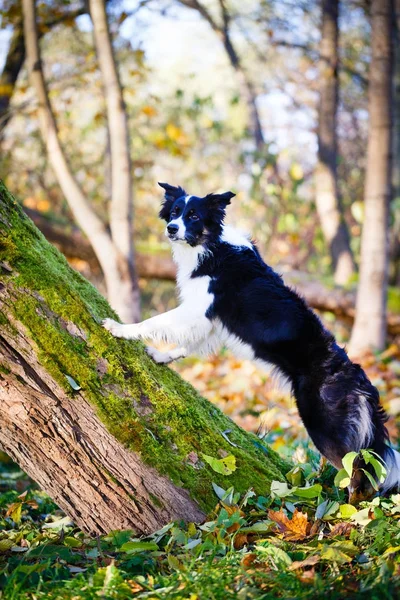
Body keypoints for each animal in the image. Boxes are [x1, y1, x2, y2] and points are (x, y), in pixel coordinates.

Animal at [102, 183, 400, 496]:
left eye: (193, 216)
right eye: (174, 213)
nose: (171, 228)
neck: (211, 246)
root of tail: (357, 377)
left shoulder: (198, 309)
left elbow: (155, 321)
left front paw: (120, 328)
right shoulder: (209, 321)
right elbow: (187, 344)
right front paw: (161, 356)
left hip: (323, 425)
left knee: (356, 472)